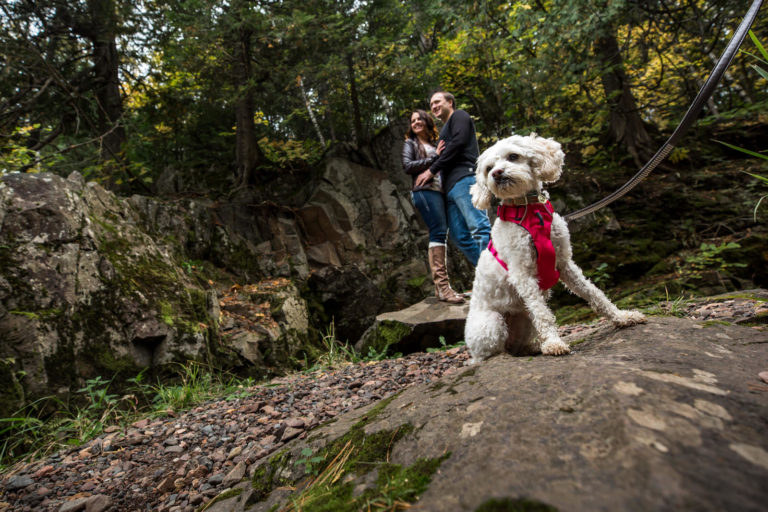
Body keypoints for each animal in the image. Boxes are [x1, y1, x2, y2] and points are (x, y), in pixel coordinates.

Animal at [464, 134, 644, 362]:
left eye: (513, 156)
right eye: (488, 168)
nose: (496, 173)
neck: (529, 210)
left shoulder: (565, 264)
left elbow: (594, 294)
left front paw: (621, 317)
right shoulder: (522, 274)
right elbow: (542, 312)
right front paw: (554, 343)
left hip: (523, 319)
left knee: (517, 344)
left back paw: (531, 348)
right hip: (492, 323)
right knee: (492, 353)